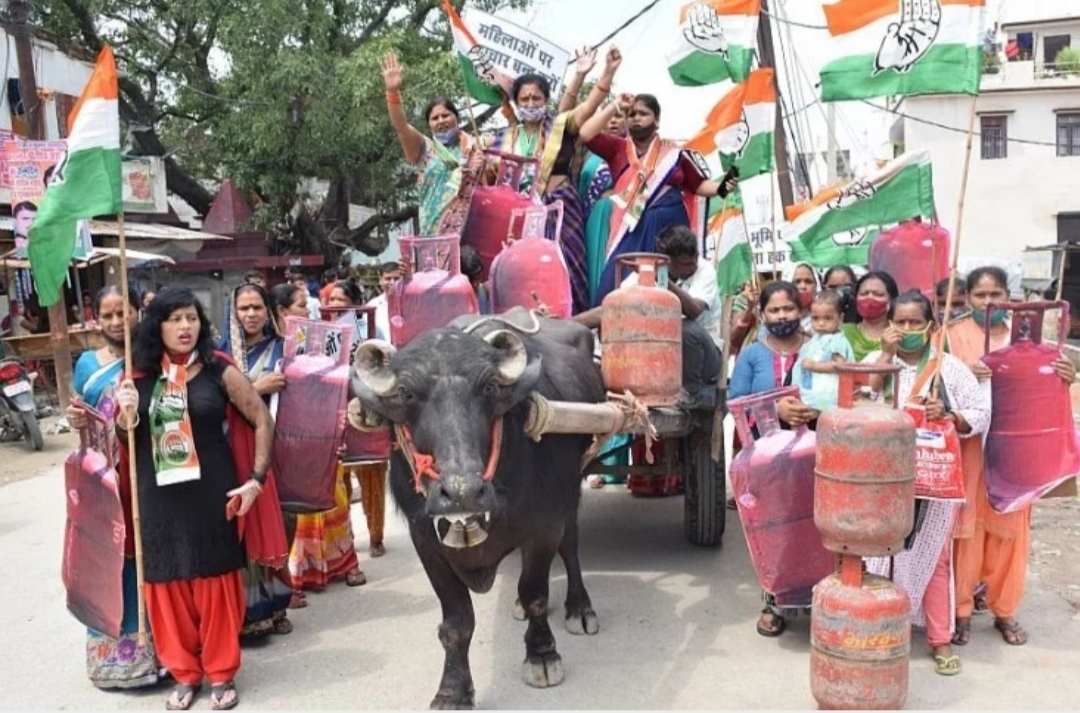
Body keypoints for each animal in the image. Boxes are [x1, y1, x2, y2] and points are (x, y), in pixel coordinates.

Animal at [354, 311, 609, 708]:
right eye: (406, 393)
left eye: (488, 388)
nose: (462, 492)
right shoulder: (424, 540)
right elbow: (457, 622)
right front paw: (453, 689)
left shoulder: (546, 525)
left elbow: (536, 594)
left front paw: (542, 655)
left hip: (572, 492)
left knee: (570, 547)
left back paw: (579, 608)